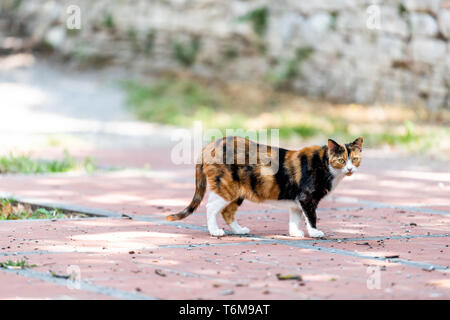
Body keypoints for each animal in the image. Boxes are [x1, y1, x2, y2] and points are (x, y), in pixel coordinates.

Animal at [165, 135, 362, 238]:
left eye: (355, 159)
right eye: (341, 160)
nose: (350, 168)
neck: (325, 164)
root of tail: (209, 145)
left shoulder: (297, 201)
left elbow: (295, 217)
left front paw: (295, 233)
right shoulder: (307, 198)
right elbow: (311, 217)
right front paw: (314, 233)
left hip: (236, 192)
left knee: (226, 211)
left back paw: (239, 230)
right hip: (226, 188)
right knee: (211, 207)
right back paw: (215, 231)